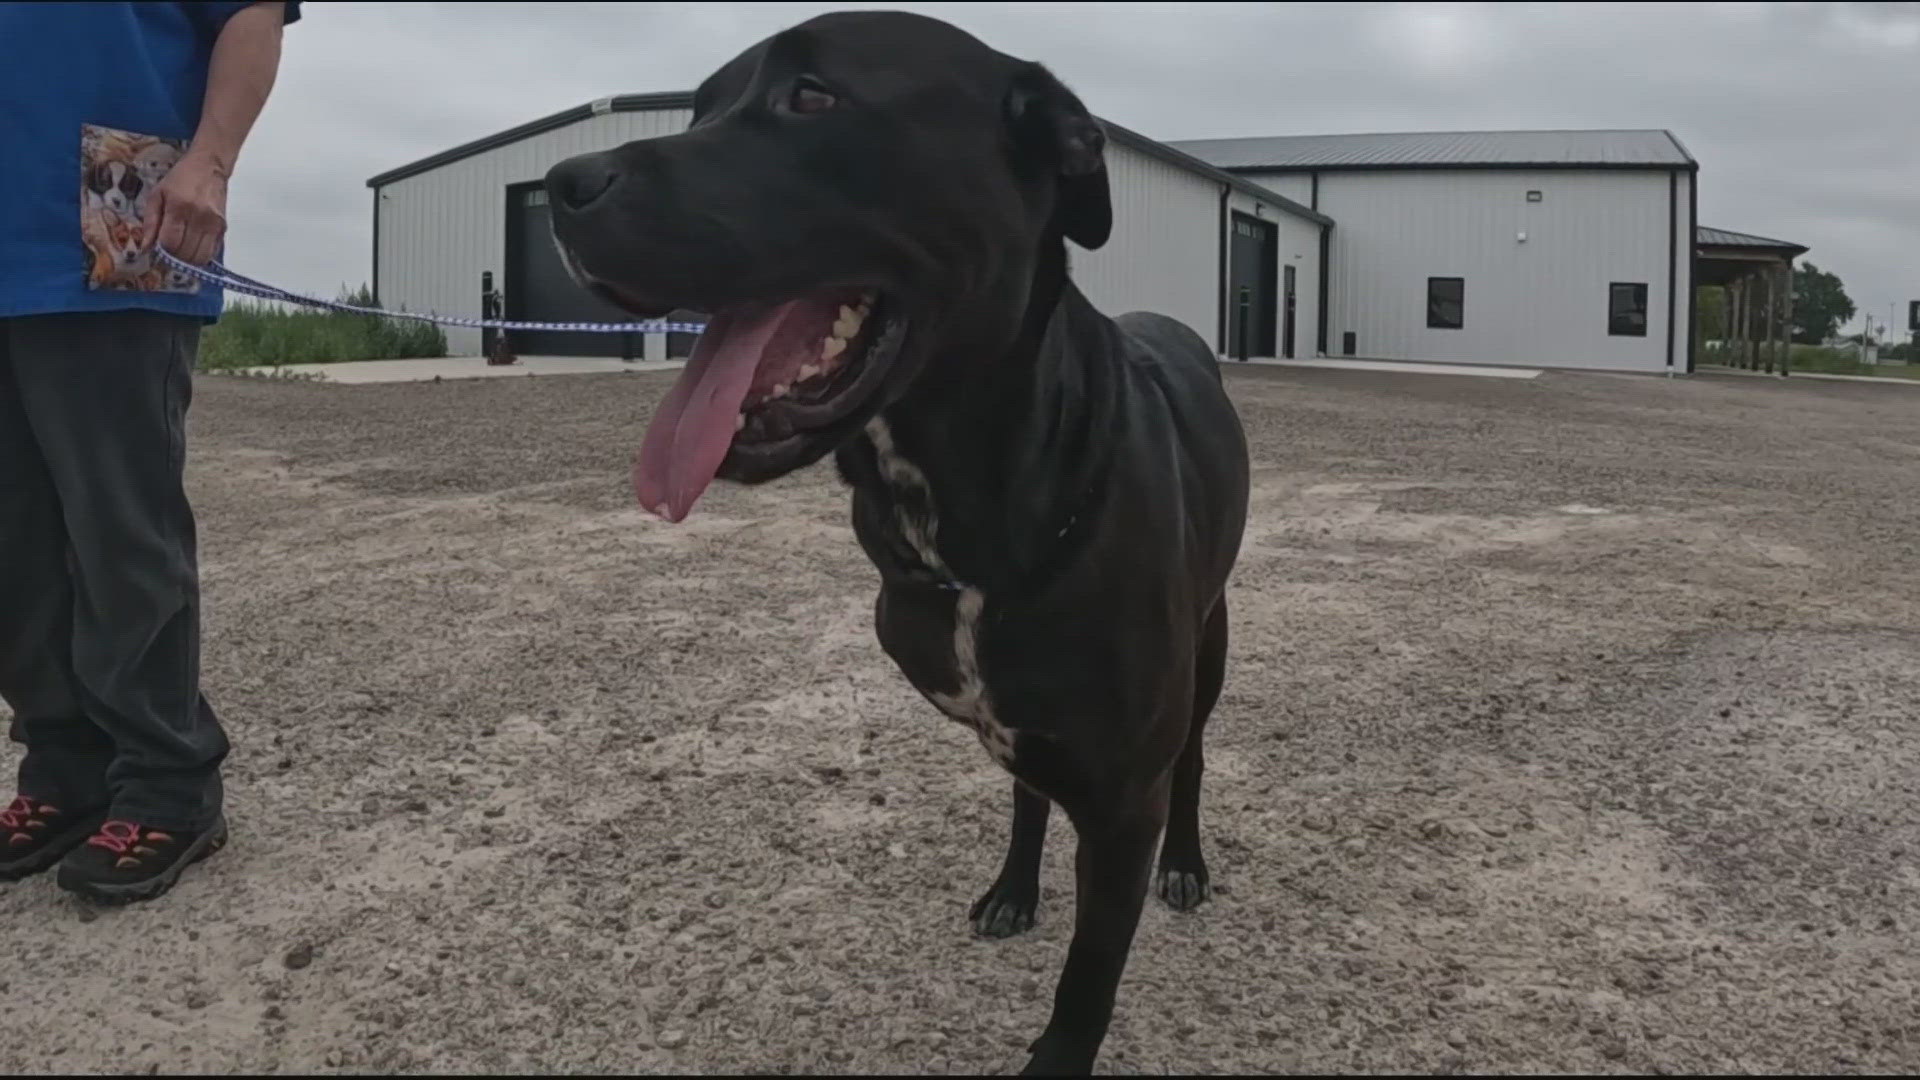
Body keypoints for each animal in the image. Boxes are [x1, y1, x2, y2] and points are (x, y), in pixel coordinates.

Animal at [549, 8, 1251, 1068]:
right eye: (702, 106)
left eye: (812, 95)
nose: (561, 185)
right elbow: (1029, 792)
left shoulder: (1127, 797)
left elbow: (1087, 981)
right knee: (1029, 791)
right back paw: (1013, 889)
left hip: (1208, 646)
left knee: (1195, 757)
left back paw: (1188, 863)